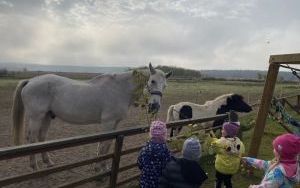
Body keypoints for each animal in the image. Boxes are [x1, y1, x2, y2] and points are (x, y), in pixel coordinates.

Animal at [11, 63, 171, 170]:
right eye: (152, 81)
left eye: (165, 86)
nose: (154, 106)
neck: (120, 89)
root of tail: (30, 81)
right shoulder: (108, 122)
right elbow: (104, 144)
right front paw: (99, 167)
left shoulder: (115, 123)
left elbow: (108, 144)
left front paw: (104, 166)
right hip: (36, 117)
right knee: (32, 139)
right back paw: (34, 166)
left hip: (47, 116)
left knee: (41, 138)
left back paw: (48, 162)